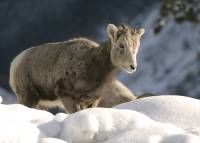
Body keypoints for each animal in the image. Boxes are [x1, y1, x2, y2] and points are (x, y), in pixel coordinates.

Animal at [9, 23, 145, 113]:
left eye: (137, 46)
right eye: (121, 45)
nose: (133, 66)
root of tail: (15, 63)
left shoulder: (92, 101)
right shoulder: (67, 98)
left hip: (41, 104)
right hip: (28, 98)